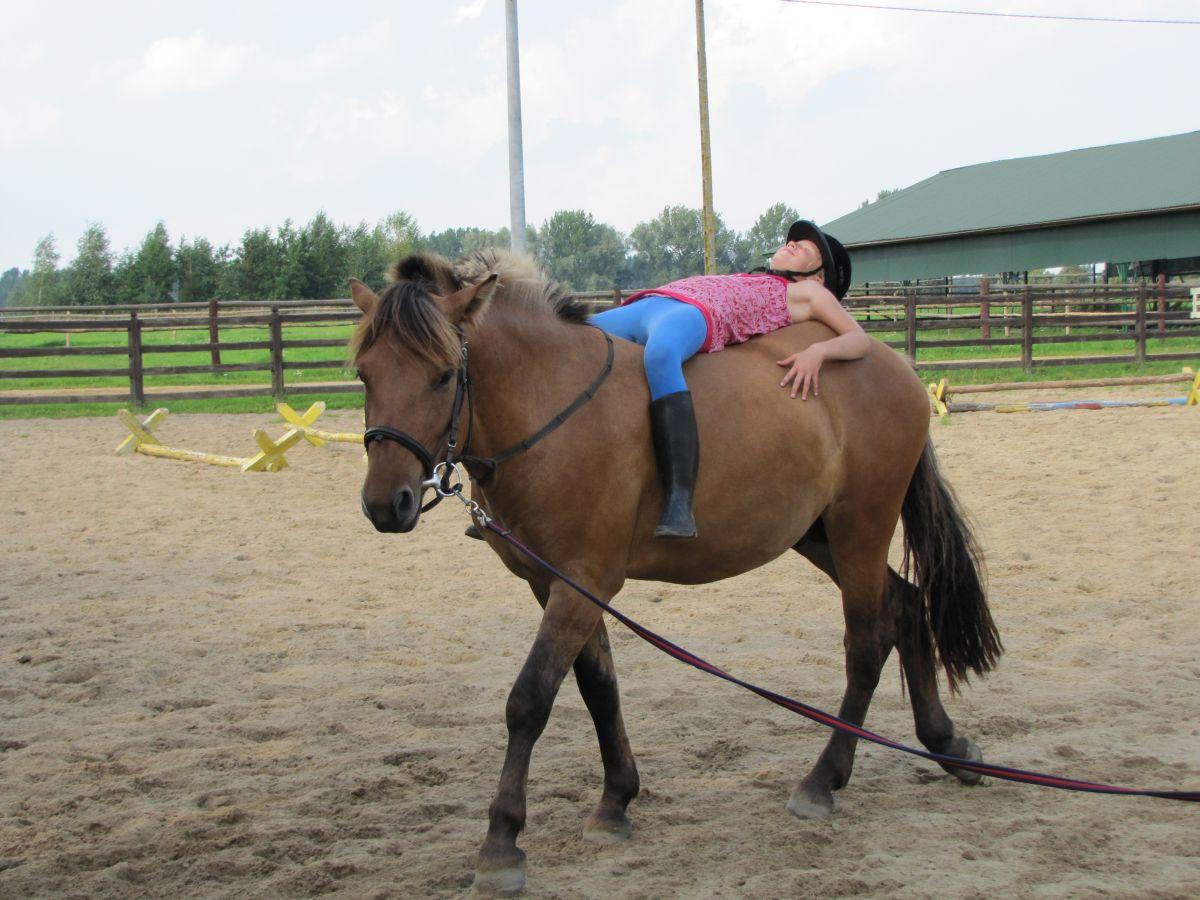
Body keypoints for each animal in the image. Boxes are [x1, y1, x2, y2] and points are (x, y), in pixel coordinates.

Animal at [350, 248, 1003, 897]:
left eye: (442, 375)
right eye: (363, 374)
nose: (387, 504)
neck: (549, 403)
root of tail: (894, 364)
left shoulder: (583, 581)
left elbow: (529, 700)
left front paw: (501, 843)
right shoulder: (555, 583)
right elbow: (598, 688)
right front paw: (615, 802)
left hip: (859, 529)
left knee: (867, 642)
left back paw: (823, 781)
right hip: (819, 537)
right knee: (907, 606)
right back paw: (945, 742)